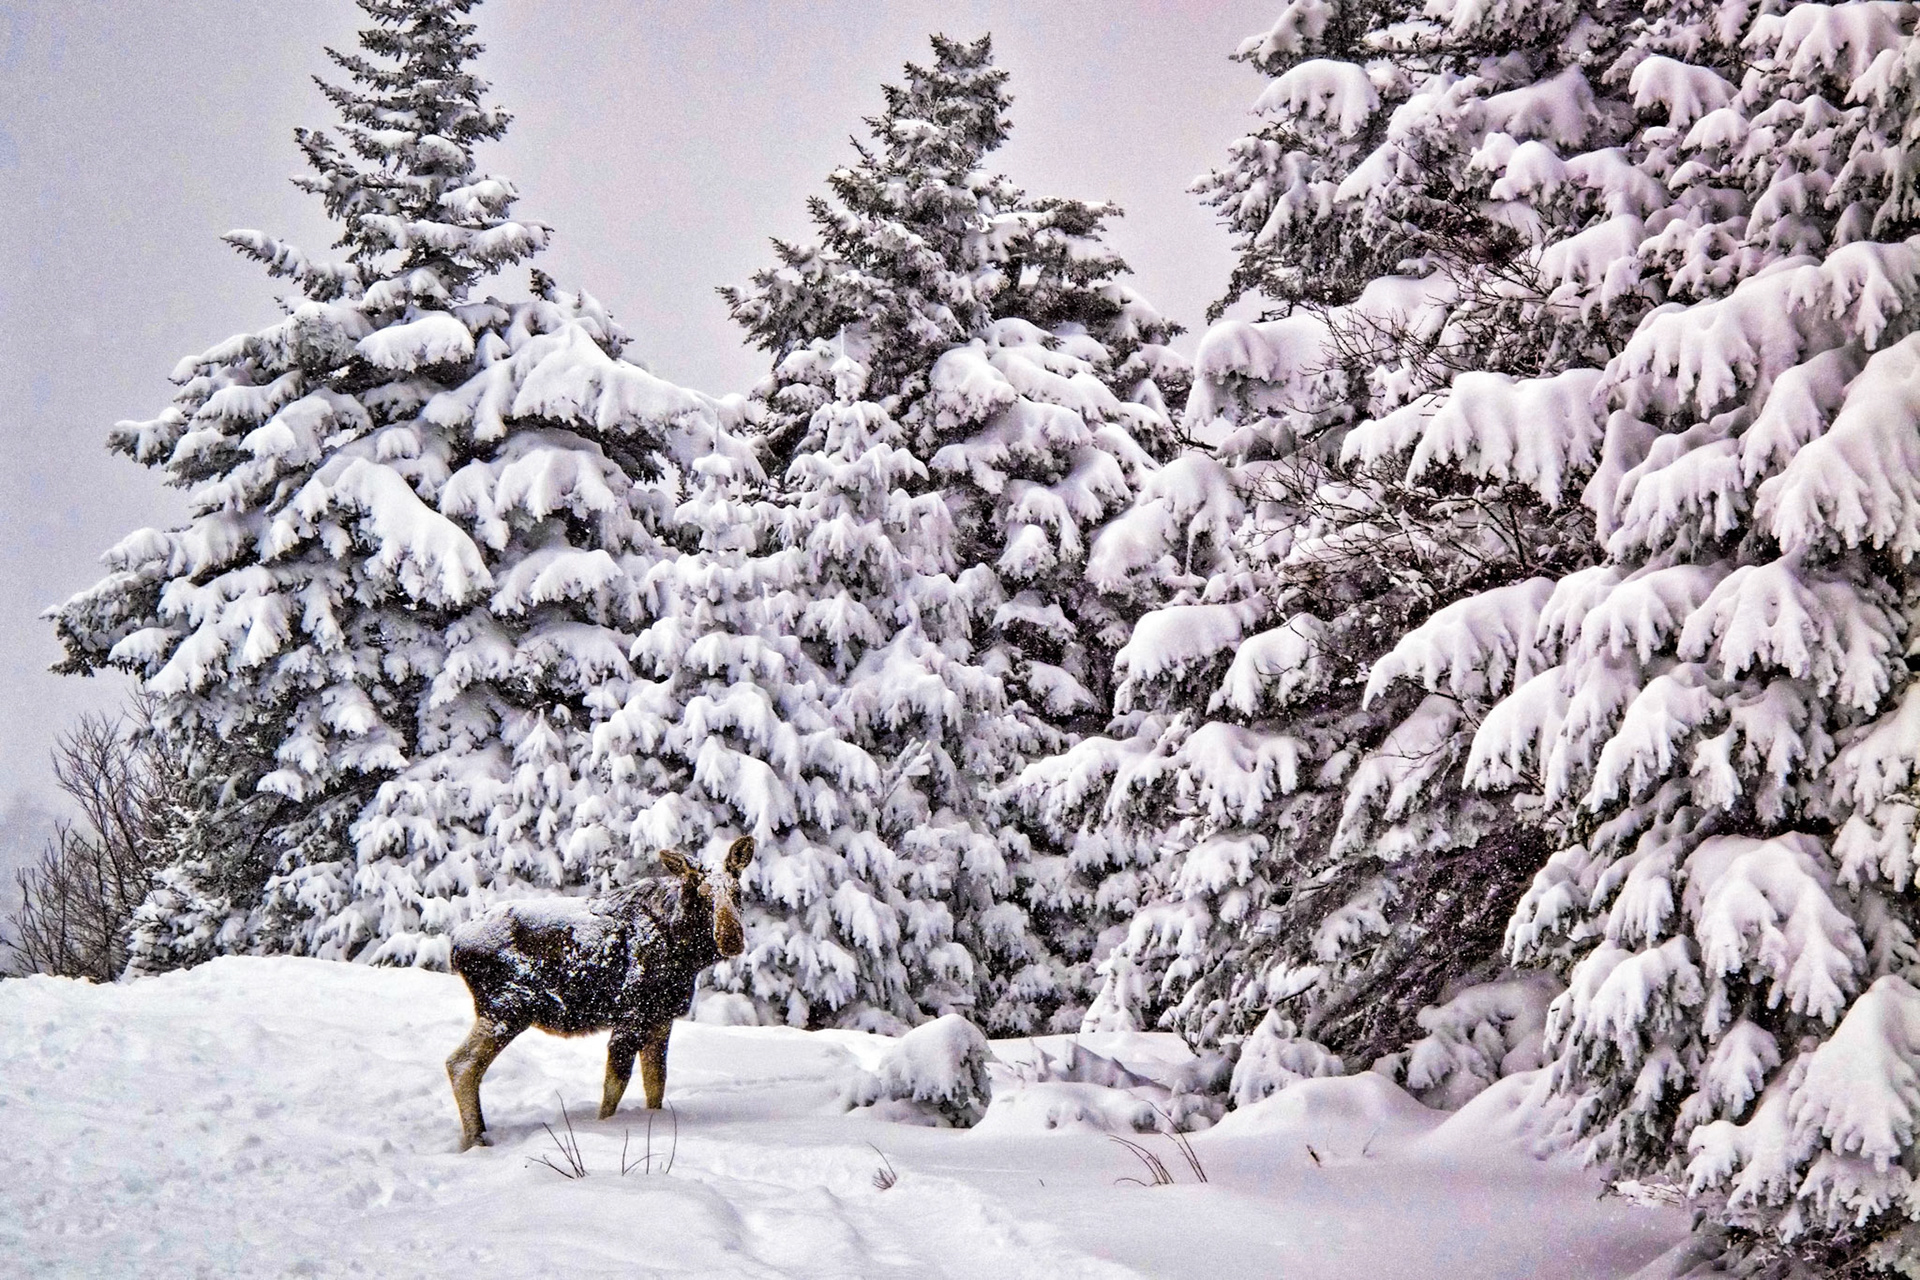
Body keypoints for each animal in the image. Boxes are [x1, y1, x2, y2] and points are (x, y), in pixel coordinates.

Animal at [445, 836, 754, 1151]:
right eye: (703, 895)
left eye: (738, 892)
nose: (731, 938)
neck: (685, 951)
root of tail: (455, 945)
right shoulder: (632, 1014)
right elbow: (614, 1088)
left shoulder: (661, 1016)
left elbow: (656, 1083)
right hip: (508, 1007)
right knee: (461, 1064)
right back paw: (477, 1140)